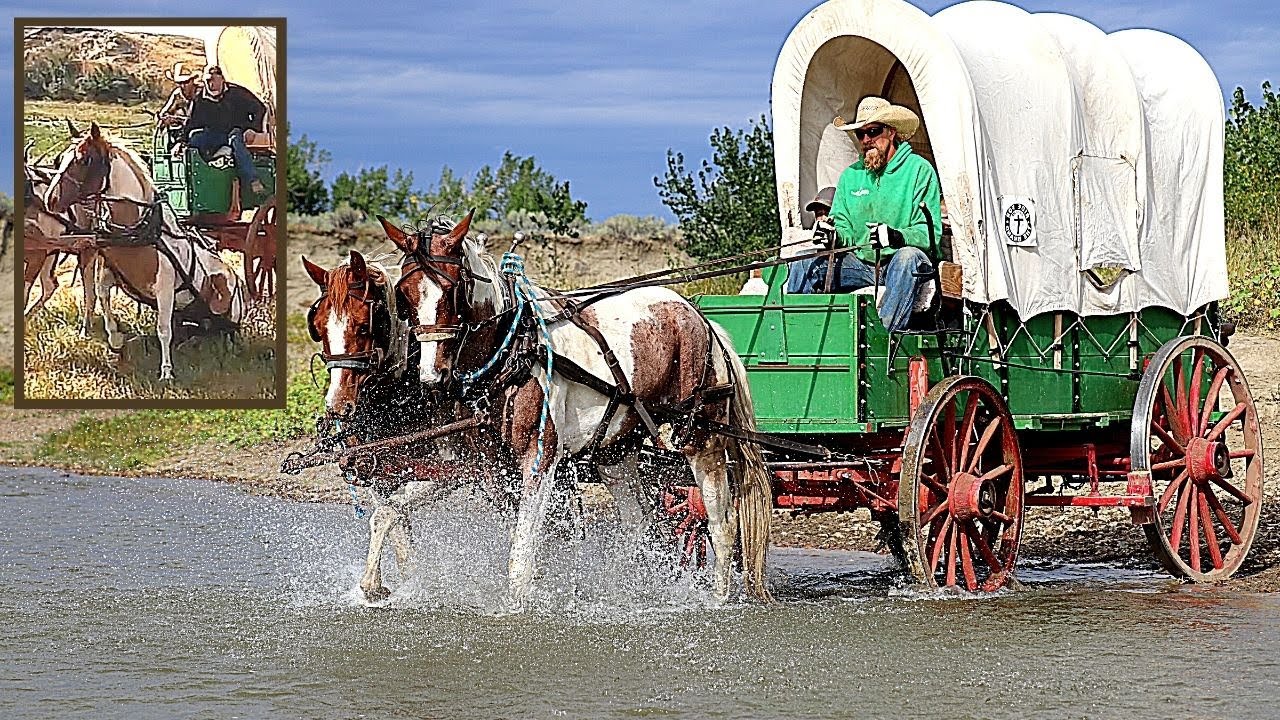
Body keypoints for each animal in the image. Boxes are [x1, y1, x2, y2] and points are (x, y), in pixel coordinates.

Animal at [44, 122, 249, 380]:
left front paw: (166, 371)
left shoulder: (164, 288)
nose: (50, 199)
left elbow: (163, 329)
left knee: (227, 327)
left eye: (84, 160)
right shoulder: (110, 274)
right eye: (60, 158)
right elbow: (102, 297)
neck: (138, 227)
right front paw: (116, 339)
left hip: (224, 296)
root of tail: (235, 279)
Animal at [302, 250, 516, 603]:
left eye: (363, 325)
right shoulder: (380, 474)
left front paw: (372, 584)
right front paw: (405, 582)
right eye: (319, 327)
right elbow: (396, 525)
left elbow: (386, 515)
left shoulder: (449, 472)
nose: (337, 404)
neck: (401, 394)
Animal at [380, 212, 774, 609]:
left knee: (721, 523)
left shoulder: (539, 458)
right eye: (405, 294)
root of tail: (702, 319)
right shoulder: (489, 467)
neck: (514, 349)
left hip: (703, 441)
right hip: (617, 453)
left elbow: (522, 551)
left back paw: (718, 597)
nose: (432, 376)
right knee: (639, 524)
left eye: (452, 289)